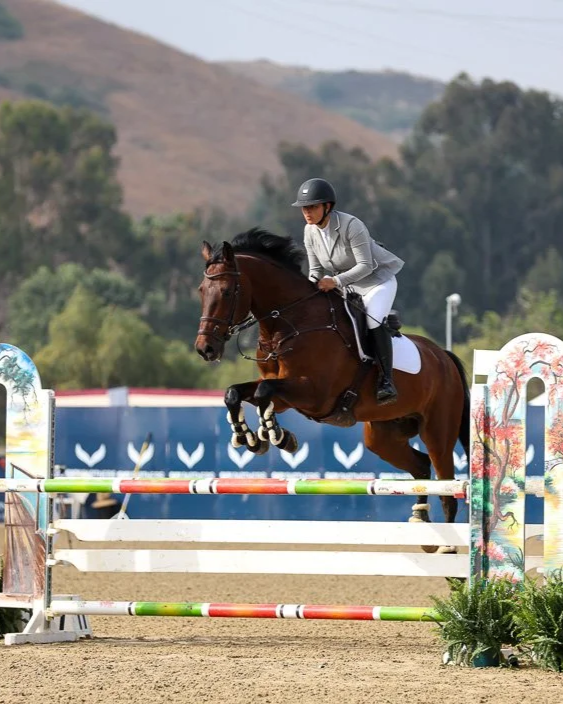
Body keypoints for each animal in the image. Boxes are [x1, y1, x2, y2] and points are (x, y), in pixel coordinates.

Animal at [195, 229, 470, 552]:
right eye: (202, 290)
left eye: (226, 291)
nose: (205, 349)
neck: (290, 322)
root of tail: (444, 356)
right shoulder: (286, 396)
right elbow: (235, 393)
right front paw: (250, 438)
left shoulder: (314, 395)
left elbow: (263, 393)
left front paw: (278, 437)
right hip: (383, 436)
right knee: (422, 468)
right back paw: (421, 523)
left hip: (437, 432)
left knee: (446, 484)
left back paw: (447, 547)